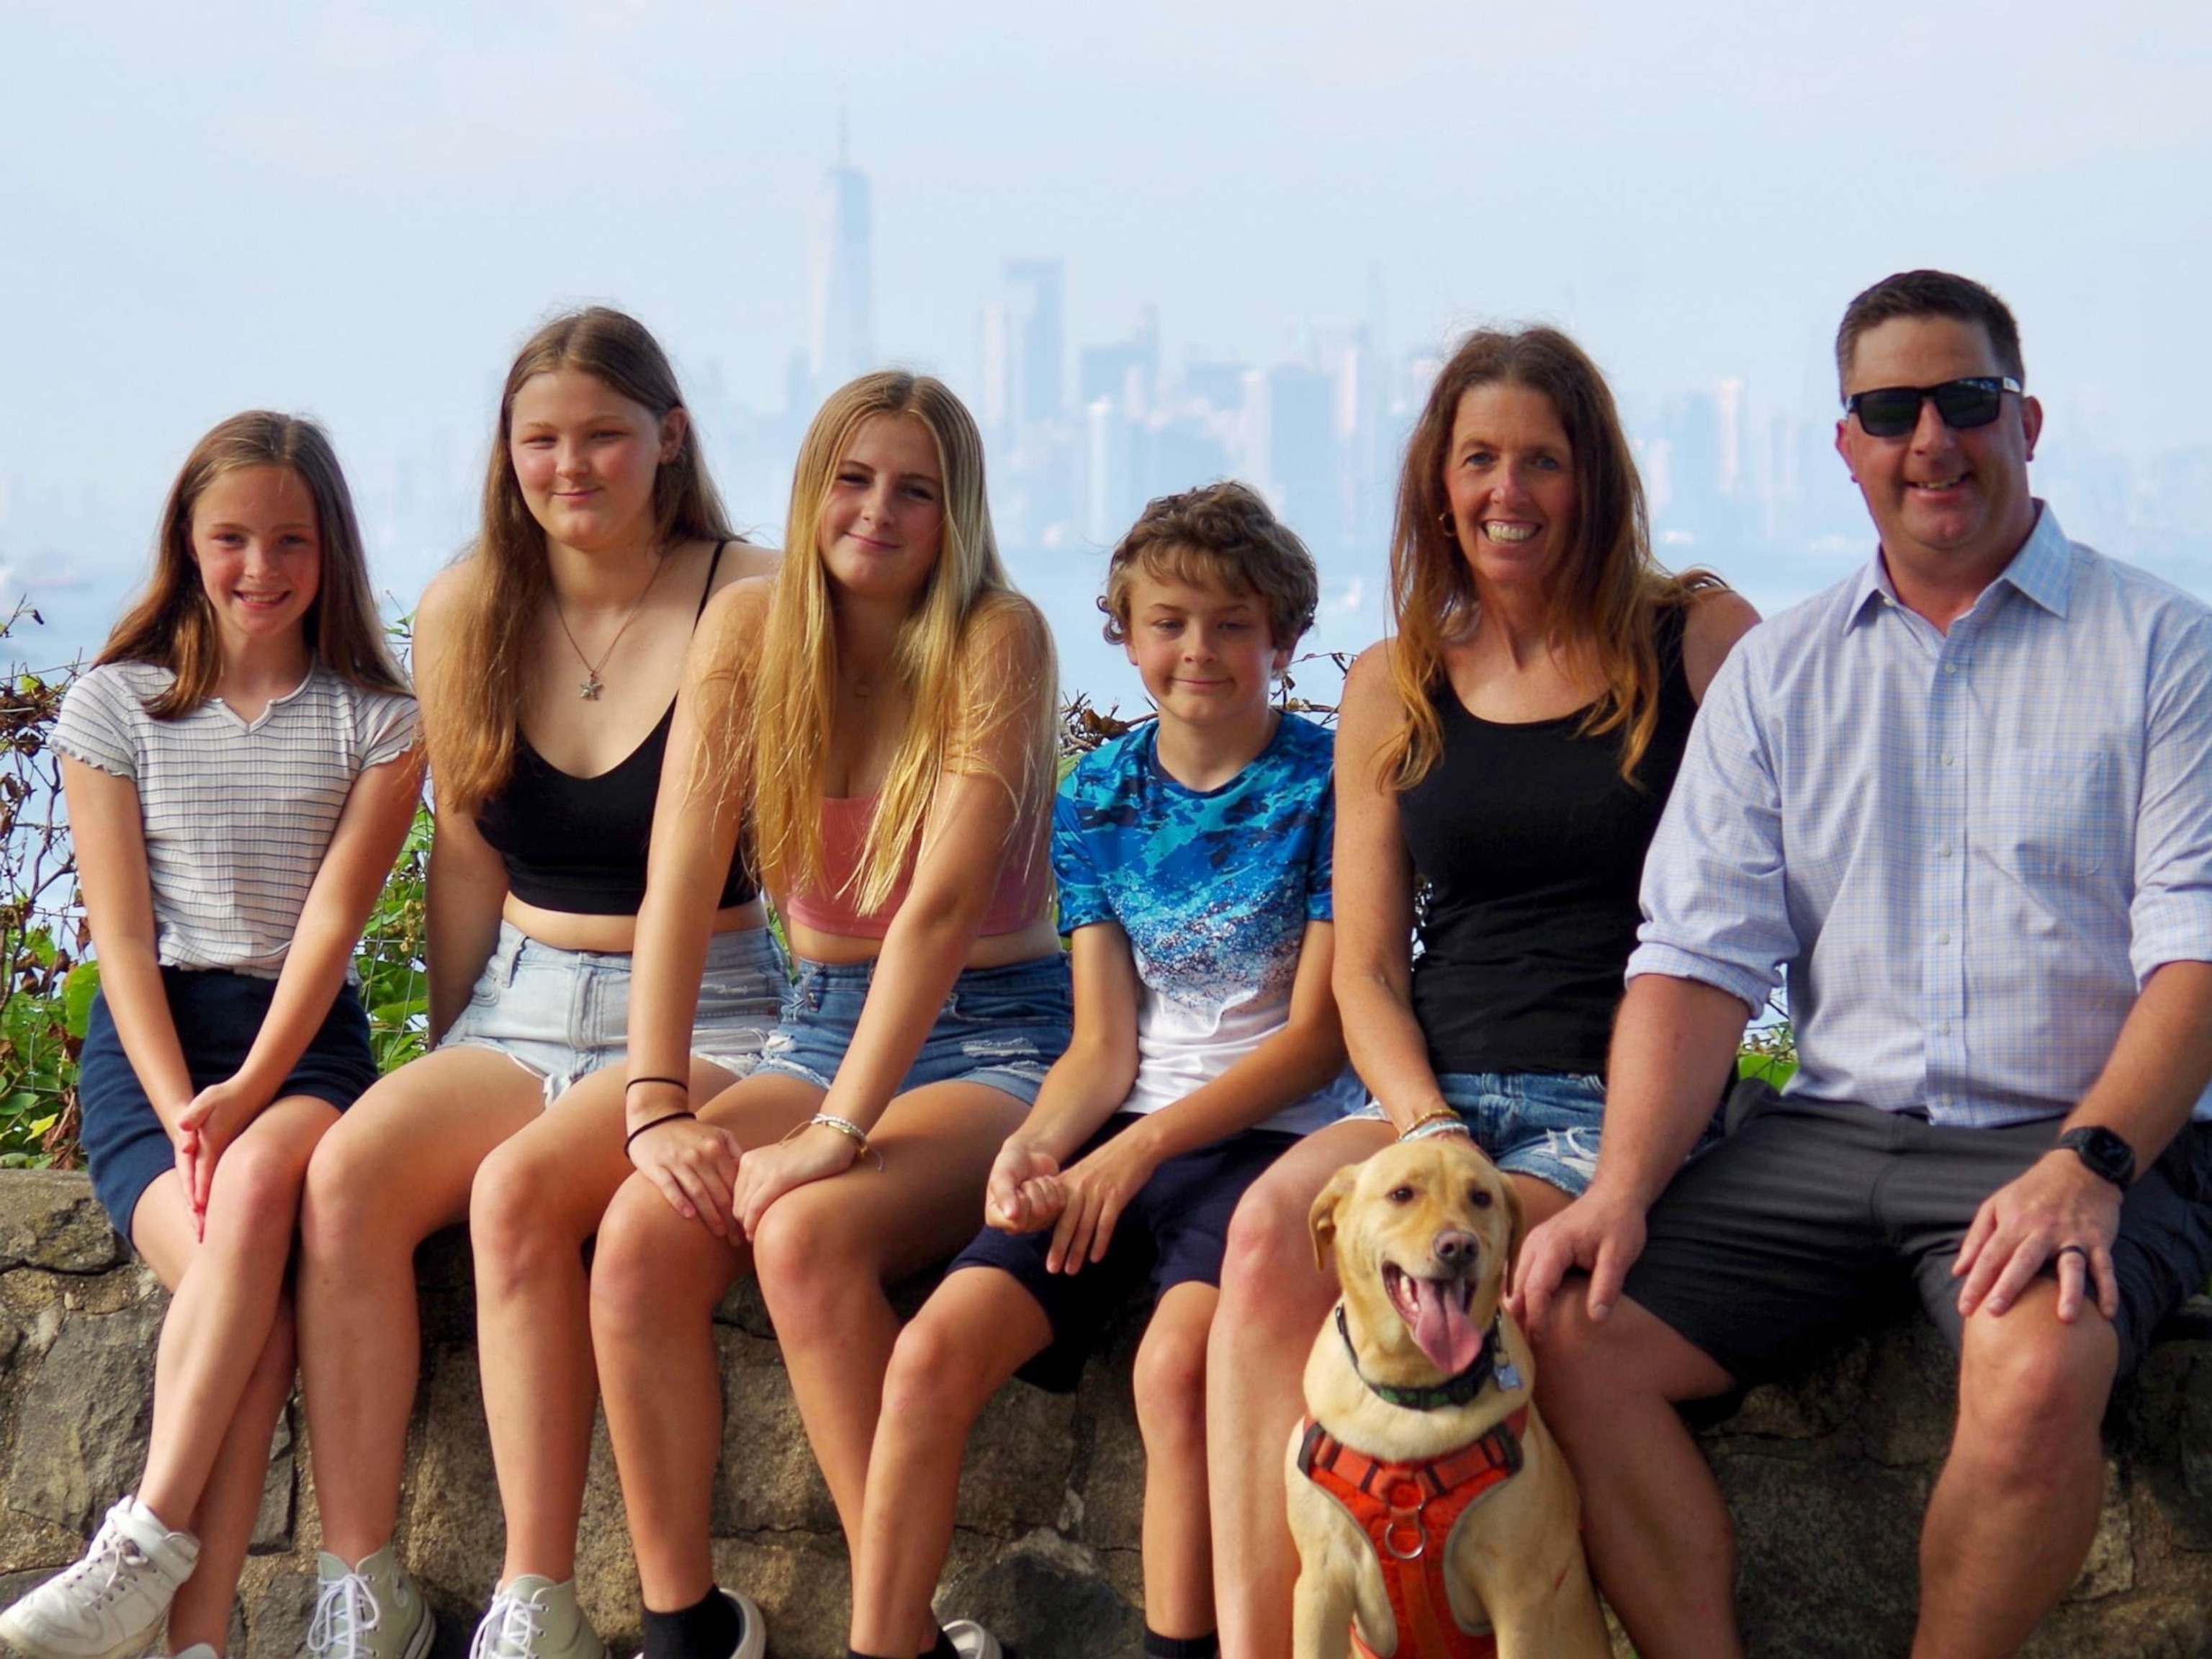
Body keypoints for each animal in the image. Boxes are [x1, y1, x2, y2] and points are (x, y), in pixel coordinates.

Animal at [1282, 1141, 1610, 1659]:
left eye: (1481, 1198)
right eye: (1402, 1194)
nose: (1458, 1247)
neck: (1412, 1396)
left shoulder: (1520, 1594)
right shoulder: (1320, 1581)